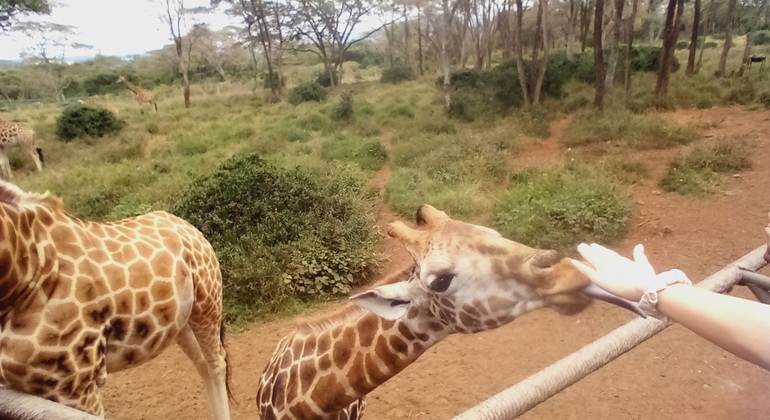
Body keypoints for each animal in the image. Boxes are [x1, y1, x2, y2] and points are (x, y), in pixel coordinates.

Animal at [0, 180, 232, 419]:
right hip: (180, 322)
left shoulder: (77, 387)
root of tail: (187, 225)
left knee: (217, 363)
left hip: (207, 303)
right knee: (202, 362)